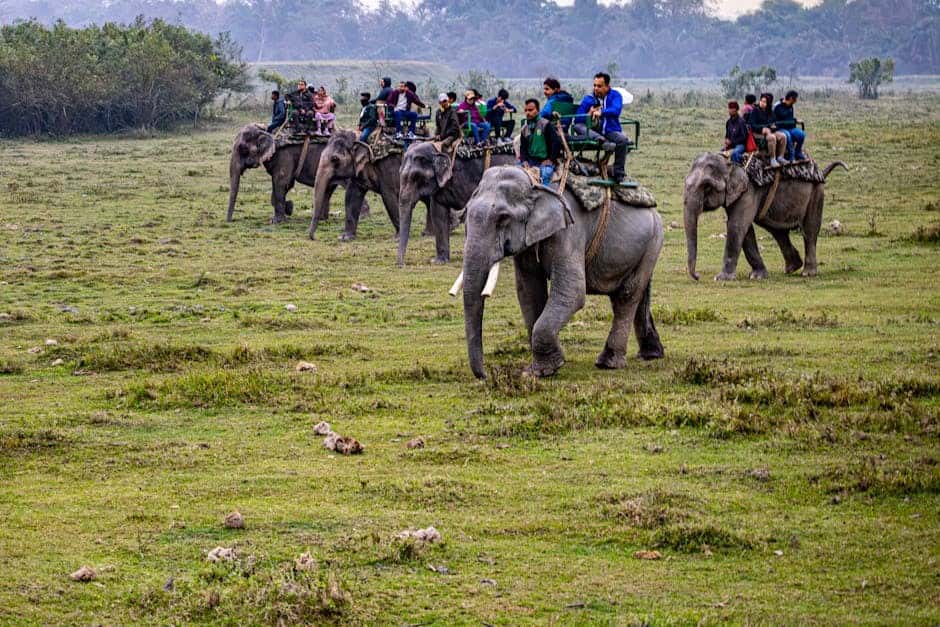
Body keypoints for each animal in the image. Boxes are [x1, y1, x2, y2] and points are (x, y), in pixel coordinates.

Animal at [227, 124, 366, 224]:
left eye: (243, 149)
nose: (229, 221)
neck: (267, 130)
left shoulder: (284, 155)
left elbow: (282, 181)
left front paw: (276, 221)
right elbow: (286, 184)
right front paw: (289, 208)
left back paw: (363, 217)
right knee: (328, 189)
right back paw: (322, 219)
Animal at [459, 166, 665, 379]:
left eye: (503, 218)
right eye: (464, 215)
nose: (485, 376)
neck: (535, 182)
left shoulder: (568, 231)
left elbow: (573, 291)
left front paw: (545, 370)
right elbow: (529, 291)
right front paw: (546, 366)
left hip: (654, 240)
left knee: (626, 295)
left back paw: (608, 363)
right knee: (637, 294)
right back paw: (651, 354)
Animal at [683, 152, 847, 281]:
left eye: (707, 186)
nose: (697, 276)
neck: (729, 161)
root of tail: (820, 171)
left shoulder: (749, 190)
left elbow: (737, 225)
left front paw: (721, 278)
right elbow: (744, 229)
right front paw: (758, 276)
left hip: (816, 192)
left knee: (809, 230)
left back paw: (807, 273)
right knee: (777, 231)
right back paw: (792, 268)